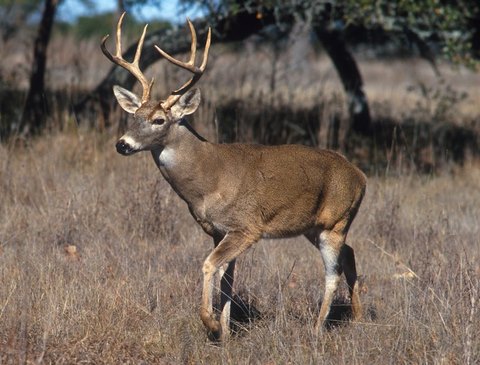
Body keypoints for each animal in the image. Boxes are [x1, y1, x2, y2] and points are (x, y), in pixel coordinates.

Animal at [102, 12, 368, 342]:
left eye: (159, 120)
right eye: (134, 116)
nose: (122, 144)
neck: (208, 180)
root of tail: (361, 176)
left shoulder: (246, 227)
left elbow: (209, 266)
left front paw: (212, 324)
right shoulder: (218, 230)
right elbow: (227, 278)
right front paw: (227, 332)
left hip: (336, 221)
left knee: (333, 272)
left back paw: (317, 329)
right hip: (314, 226)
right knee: (350, 254)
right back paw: (358, 318)